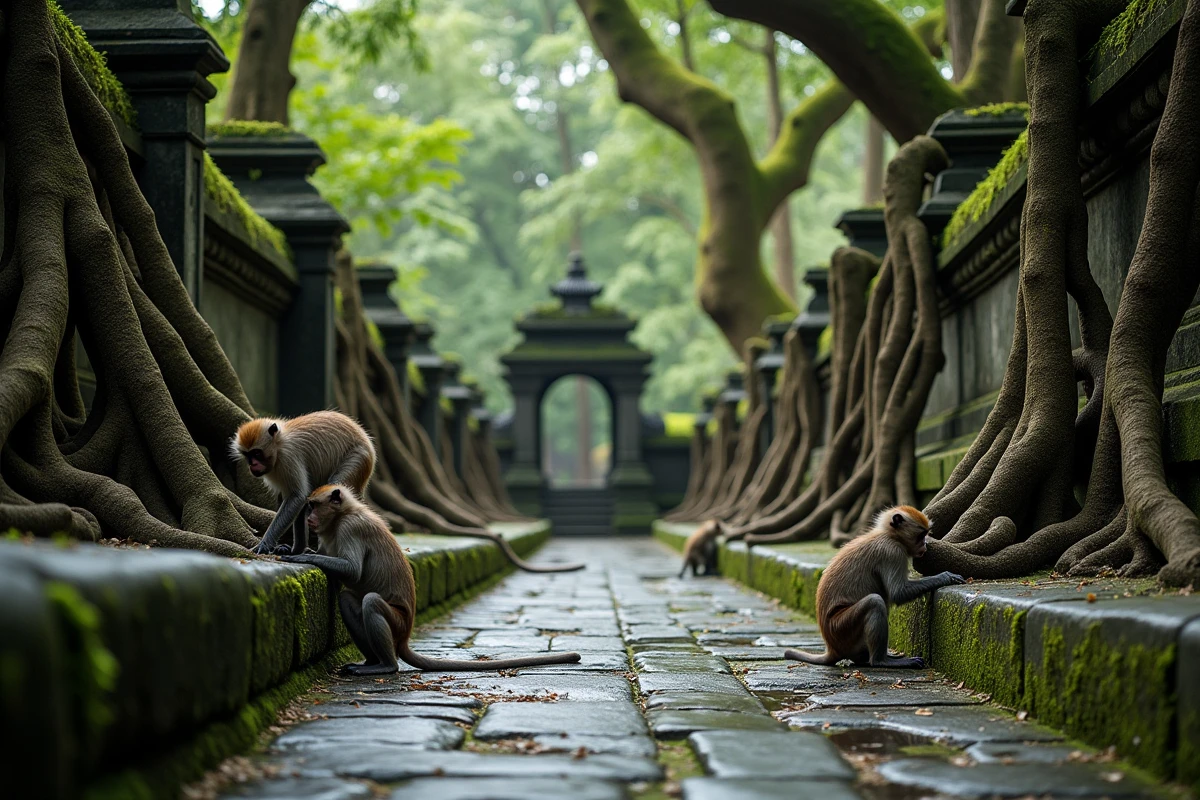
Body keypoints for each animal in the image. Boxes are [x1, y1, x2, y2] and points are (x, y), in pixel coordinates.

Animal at [231, 411, 374, 555]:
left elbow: (297, 496)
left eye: (256, 453)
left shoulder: (288, 457)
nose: (252, 465)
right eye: (247, 455)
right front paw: (295, 550)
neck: (279, 444)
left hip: (358, 457)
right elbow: (301, 500)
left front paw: (265, 544)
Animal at [282, 484, 582, 675]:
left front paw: (301, 557)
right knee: (347, 599)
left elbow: (353, 571)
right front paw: (292, 549)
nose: (308, 518)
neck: (341, 516)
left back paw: (386, 666)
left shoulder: (350, 528)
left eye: (313, 506)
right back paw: (370, 662)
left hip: (398, 621)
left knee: (371, 602)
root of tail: (405, 637)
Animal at [784, 506, 965, 669]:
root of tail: (832, 648)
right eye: (921, 535)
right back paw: (881, 661)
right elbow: (898, 593)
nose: (925, 546)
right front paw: (945, 577)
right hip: (842, 629)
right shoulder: (893, 552)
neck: (889, 535)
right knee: (875, 601)